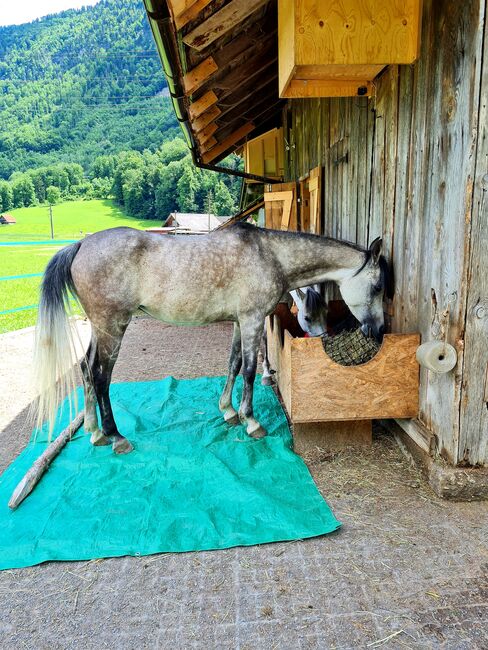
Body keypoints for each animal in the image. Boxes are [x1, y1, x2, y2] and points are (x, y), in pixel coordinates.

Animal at [34, 221, 390, 450]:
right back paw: (115, 436)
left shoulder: (238, 322)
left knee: (85, 368)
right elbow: (249, 370)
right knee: (100, 375)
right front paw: (251, 421)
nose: (378, 331)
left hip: (100, 328)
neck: (270, 255)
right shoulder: (252, 320)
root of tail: (81, 244)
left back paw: (94, 433)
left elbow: (233, 364)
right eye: (377, 287)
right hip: (113, 326)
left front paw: (228, 412)